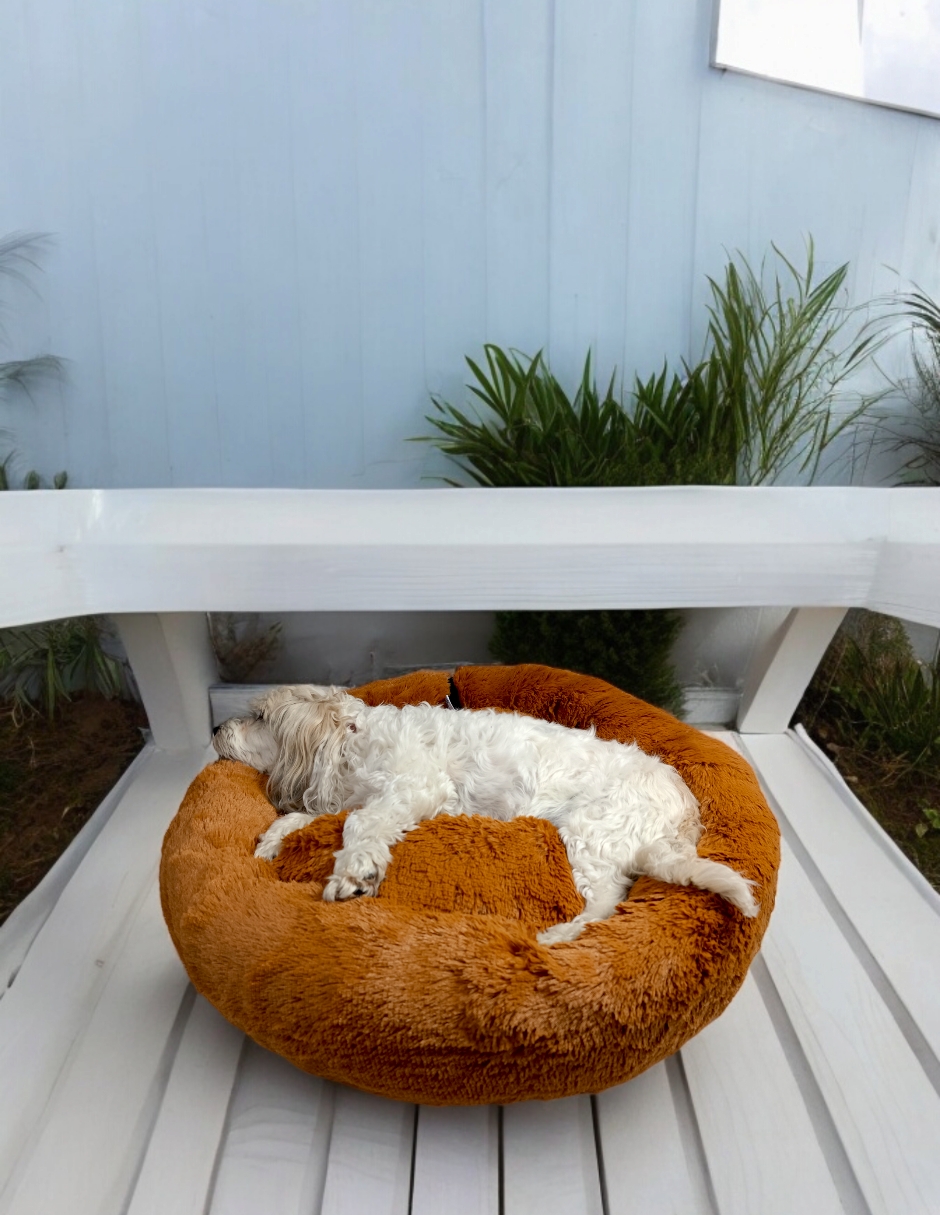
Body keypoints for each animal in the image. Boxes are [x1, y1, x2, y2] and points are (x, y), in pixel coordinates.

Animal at [213, 685, 757, 937]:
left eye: (258, 716)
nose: (216, 727)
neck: (349, 740)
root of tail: (683, 815)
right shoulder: (354, 796)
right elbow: (302, 817)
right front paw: (271, 842)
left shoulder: (412, 788)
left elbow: (359, 824)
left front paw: (353, 876)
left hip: (592, 833)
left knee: (606, 903)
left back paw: (560, 937)